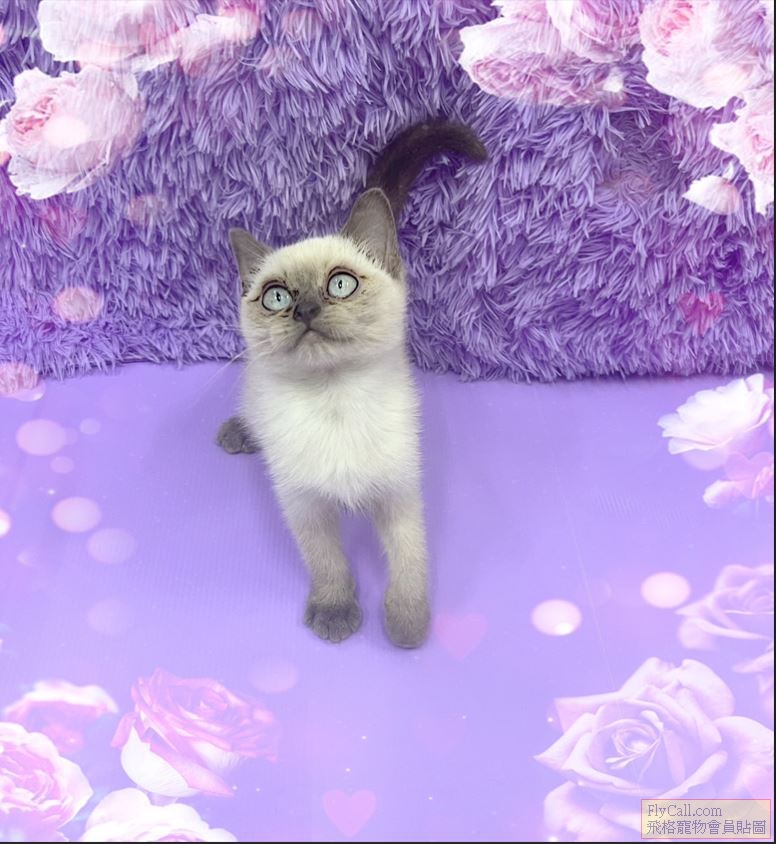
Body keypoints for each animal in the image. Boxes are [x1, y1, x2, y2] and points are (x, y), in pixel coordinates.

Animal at [220, 121, 486, 647]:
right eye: (277, 297)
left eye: (341, 285)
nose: (304, 310)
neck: (334, 399)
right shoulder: (304, 505)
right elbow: (328, 563)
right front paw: (335, 613)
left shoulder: (400, 492)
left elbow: (409, 559)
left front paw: (407, 626)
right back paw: (237, 433)